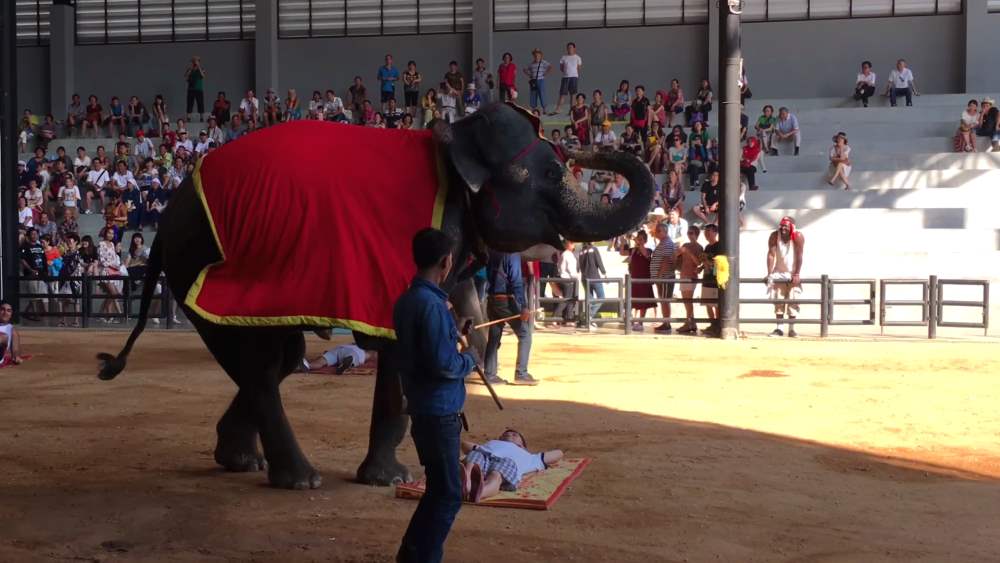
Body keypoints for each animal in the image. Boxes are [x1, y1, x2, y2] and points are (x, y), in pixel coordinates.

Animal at [95, 103, 656, 492]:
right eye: (547, 174)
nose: (574, 139)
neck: (453, 137)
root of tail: (169, 212)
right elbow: (406, 339)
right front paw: (392, 480)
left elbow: (458, 317)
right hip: (203, 258)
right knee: (262, 363)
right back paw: (298, 479)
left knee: (279, 358)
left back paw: (239, 460)